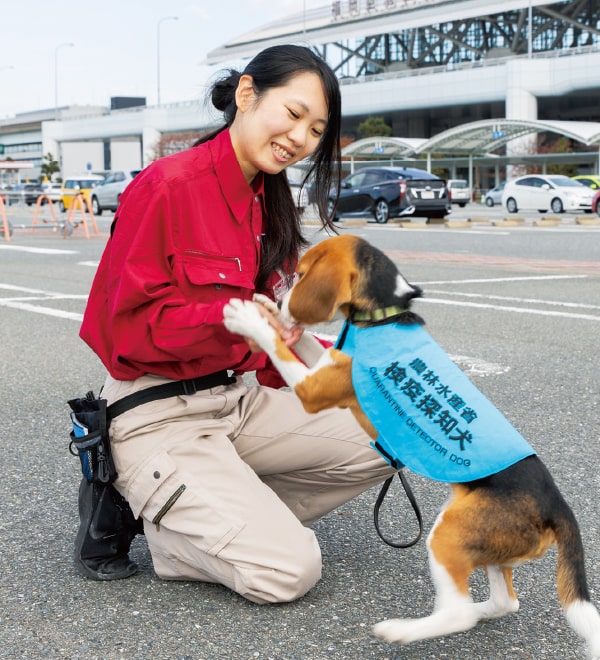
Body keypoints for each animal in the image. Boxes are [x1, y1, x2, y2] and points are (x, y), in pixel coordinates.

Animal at [221, 235, 600, 656]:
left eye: (301, 273)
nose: (284, 301)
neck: (384, 314)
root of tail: (557, 506)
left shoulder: (313, 388)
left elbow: (280, 347)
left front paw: (249, 318)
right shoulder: (326, 363)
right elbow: (304, 343)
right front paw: (269, 313)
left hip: (449, 533)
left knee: (458, 613)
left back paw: (401, 631)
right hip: (486, 541)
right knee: (505, 602)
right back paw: (480, 610)